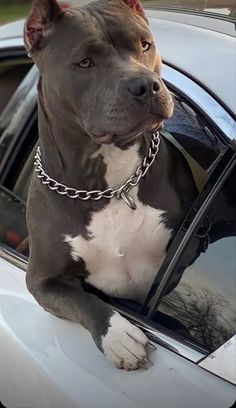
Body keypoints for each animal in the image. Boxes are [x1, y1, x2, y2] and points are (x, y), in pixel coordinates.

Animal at [24, 0, 197, 370]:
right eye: (85, 62)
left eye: (145, 45)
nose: (147, 86)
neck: (109, 185)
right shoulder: (41, 280)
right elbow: (82, 300)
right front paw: (118, 335)